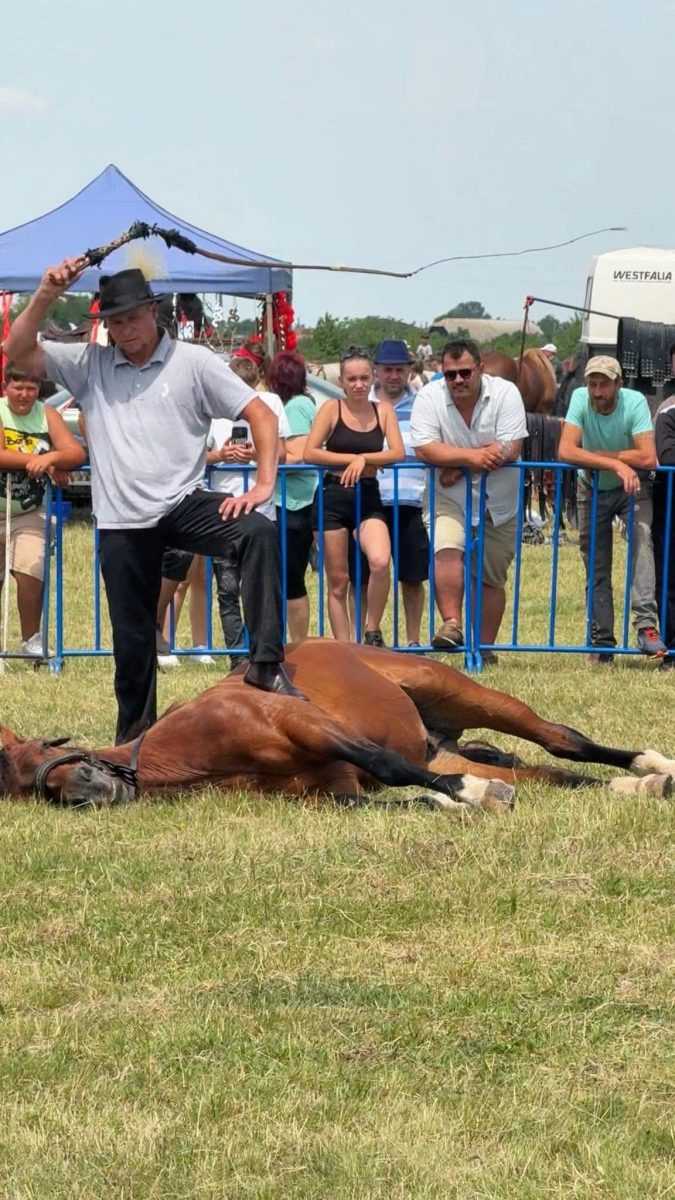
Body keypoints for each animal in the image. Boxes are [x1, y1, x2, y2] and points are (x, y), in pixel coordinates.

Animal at [1, 641, 673, 814]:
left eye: (33, 751)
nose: (86, 793)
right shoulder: (336, 794)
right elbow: (406, 797)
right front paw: (462, 799)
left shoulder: (312, 728)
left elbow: (389, 766)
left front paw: (474, 795)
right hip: (449, 747)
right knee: (549, 772)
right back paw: (634, 786)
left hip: (465, 693)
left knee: (562, 739)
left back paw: (648, 766)